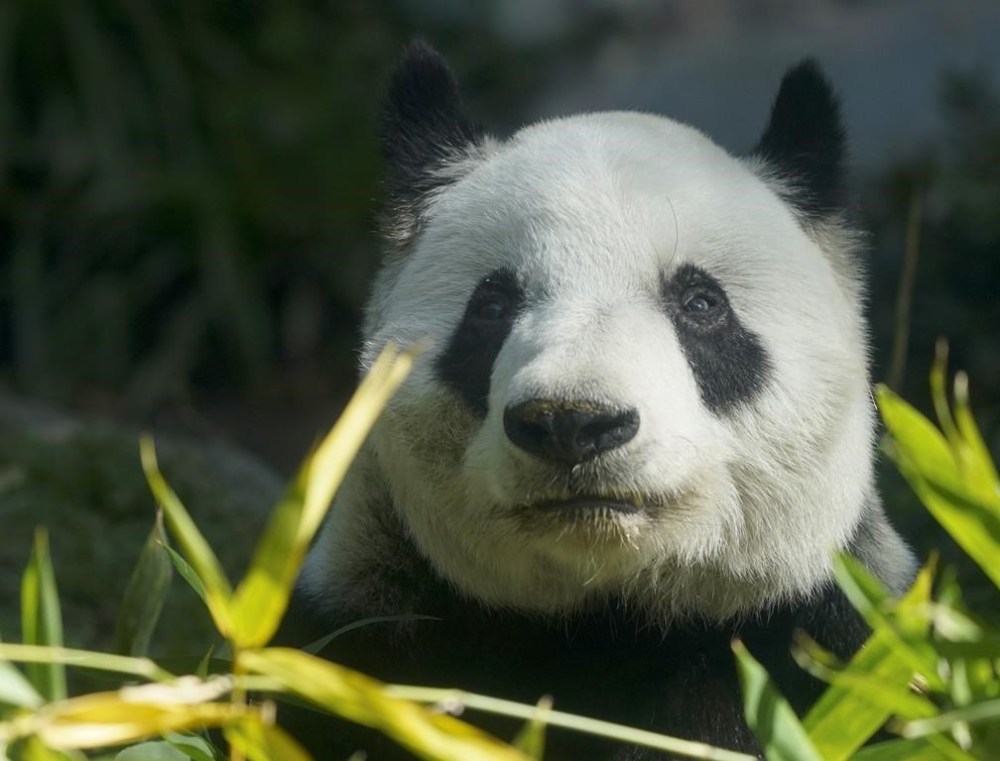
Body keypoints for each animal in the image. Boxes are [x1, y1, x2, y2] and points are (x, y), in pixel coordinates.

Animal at [287, 41, 917, 759]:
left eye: (701, 304)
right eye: (491, 307)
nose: (573, 423)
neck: (604, 620)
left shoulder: (827, 639)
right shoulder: (364, 641)